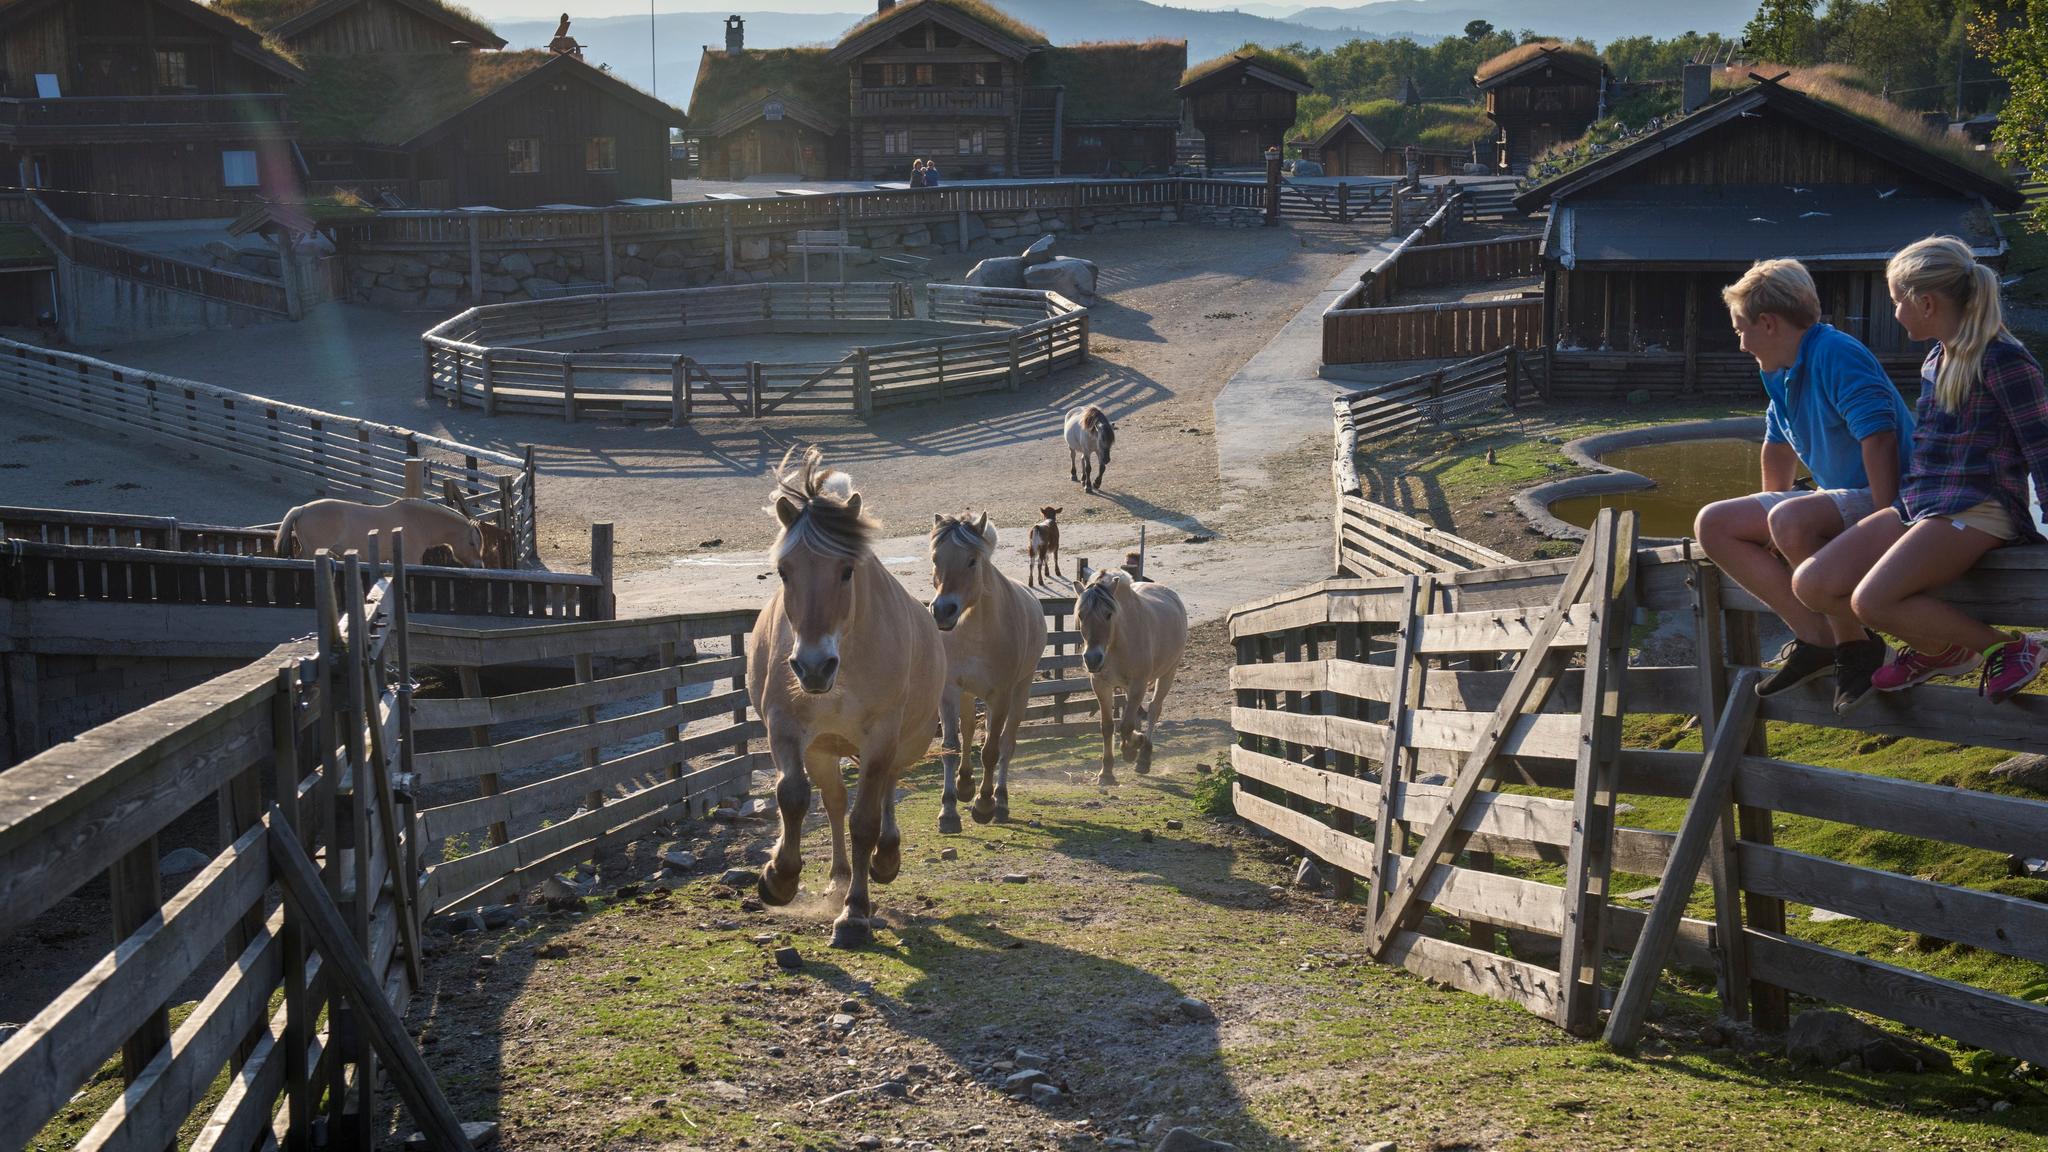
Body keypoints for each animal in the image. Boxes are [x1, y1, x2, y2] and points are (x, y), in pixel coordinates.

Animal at [275, 497, 483, 567]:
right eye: (472, 543)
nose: (479, 565)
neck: (417, 521)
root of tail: (302, 509)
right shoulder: (412, 560)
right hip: (313, 551)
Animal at [747, 446, 946, 949]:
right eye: (784, 571)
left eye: (846, 571)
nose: (813, 666)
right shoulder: (785, 726)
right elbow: (793, 796)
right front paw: (779, 877)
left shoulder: (880, 737)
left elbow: (865, 822)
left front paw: (855, 913)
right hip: (823, 749)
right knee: (834, 801)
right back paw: (837, 878)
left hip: (902, 743)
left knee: (886, 790)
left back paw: (884, 860)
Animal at [929, 512, 1048, 830]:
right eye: (935, 558)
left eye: (972, 560)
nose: (942, 611)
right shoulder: (949, 691)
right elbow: (951, 746)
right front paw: (948, 810)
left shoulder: (1001, 695)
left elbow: (992, 750)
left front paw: (984, 804)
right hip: (969, 694)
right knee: (969, 730)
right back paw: (964, 785)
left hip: (1021, 690)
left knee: (1007, 744)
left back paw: (1001, 801)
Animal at [1075, 567, 1186, 785]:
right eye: (1081, 615)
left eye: (1108, 614)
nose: (1092, 659)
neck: (1116, 643)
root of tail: (1170, 593)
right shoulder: (1101, 685)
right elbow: (1108, 726)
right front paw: (1106, 772)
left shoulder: (1138, 684)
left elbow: (1126, 726)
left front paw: (1131, 749)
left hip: (1168, 673)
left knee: (1154, 709)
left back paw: (1144, 756)